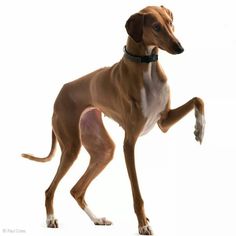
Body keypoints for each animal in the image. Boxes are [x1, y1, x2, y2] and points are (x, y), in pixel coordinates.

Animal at [23, 6, 206, 236]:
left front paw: (200, 130)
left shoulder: (164, 121)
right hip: (72, 147)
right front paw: (143, 224)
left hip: (104, 150)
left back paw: (97, 219)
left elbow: (198, 99)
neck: (146, 68)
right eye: (156, 26)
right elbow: (136, 192)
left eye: (170, 22)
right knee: (50, 189)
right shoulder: (130, 143)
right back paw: (51, 219)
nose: (180, 48)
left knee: (77, 190)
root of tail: (60, 93)